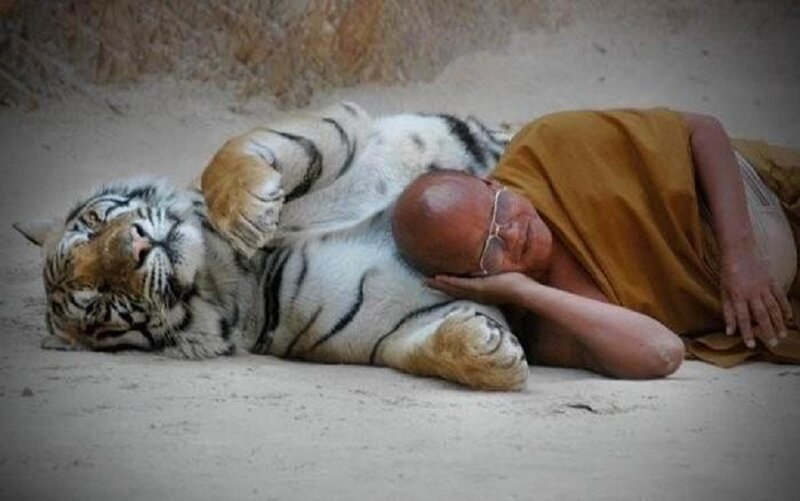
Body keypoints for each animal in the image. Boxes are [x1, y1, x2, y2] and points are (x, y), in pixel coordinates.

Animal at [15, 101, 529, 391]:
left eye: (95, 224)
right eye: (99, 301)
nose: (137, 245)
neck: (225, 267)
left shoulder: (341, 126)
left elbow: (230, 153)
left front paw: (248, 214)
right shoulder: (387, 323)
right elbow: (421, 347)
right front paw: (490, 351)